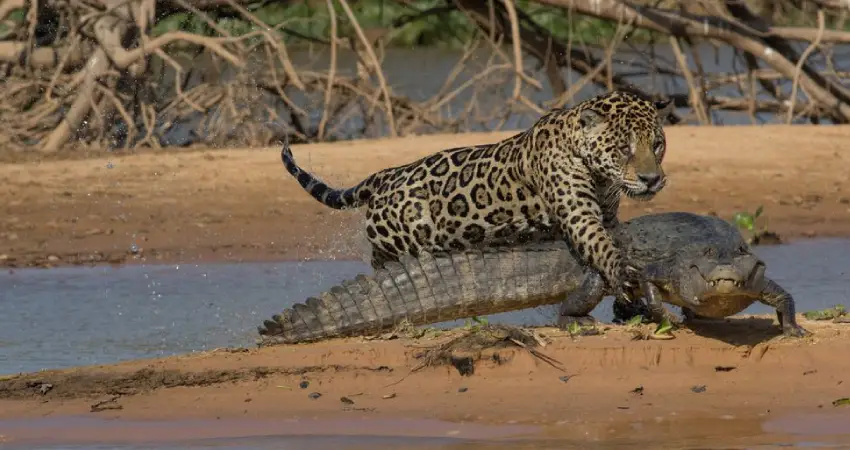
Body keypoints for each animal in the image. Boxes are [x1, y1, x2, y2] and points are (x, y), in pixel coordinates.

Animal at [280, 90, 676, 302]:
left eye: (657, 144)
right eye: (624, 148)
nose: (651, 179)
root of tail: (384, 175)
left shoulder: (607, 213)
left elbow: (612, 237)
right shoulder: (580, 214)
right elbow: (601, 244)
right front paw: (621, 273)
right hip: (397, 239)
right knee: (382, 262)